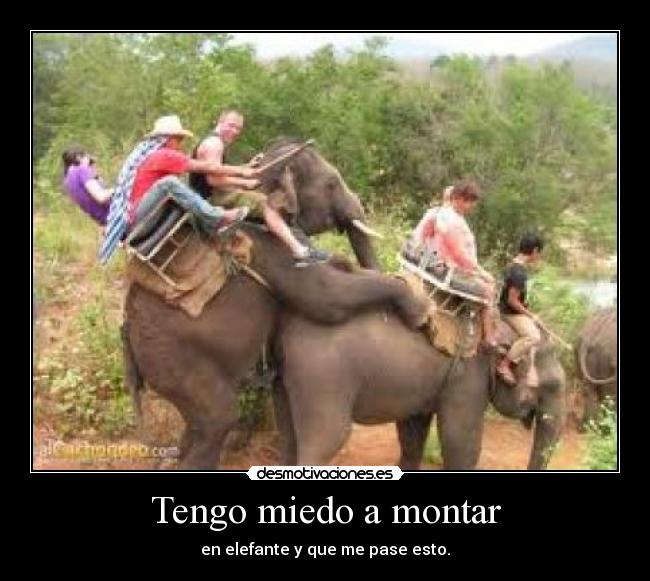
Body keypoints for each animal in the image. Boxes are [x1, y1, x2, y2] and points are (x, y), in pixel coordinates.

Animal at [123, 143, 429, 469]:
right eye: (331, 184)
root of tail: (127, 338)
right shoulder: (269, 248)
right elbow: (326, 298)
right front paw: (421, 312)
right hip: (174, 359)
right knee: (218, 419)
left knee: (195, 428)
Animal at [272, 310, 566, 470]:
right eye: (553, 386)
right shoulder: (467, 381)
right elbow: (462, 443)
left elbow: (413, 434)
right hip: (324, 378)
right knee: (326, 441)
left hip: (289, 378)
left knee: (288, 437)